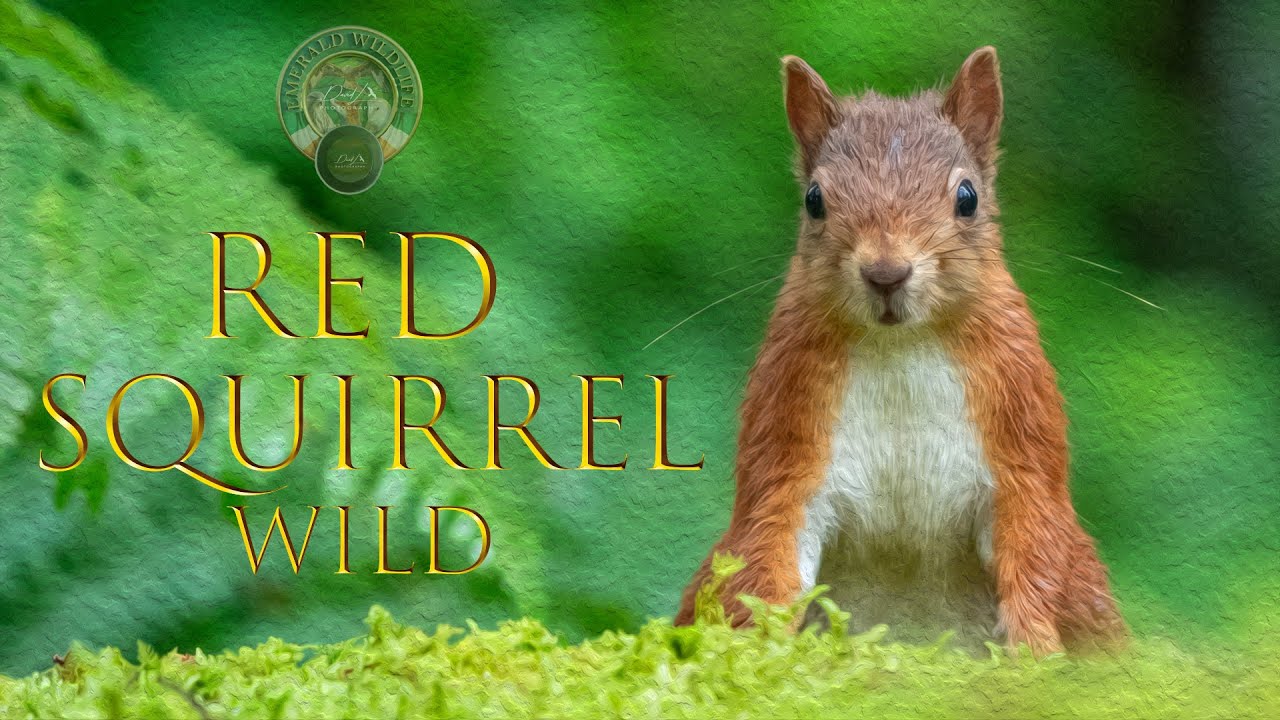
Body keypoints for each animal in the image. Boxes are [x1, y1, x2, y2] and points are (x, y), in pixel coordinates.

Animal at [674, 47, 1127, 655]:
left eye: (967, 197)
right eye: (814, 200)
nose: (886, 273)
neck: (899, 346)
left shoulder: (1020, 424)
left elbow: (1035, 539)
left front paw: (1034, 645)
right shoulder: (789, 424)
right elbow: (770, 538)